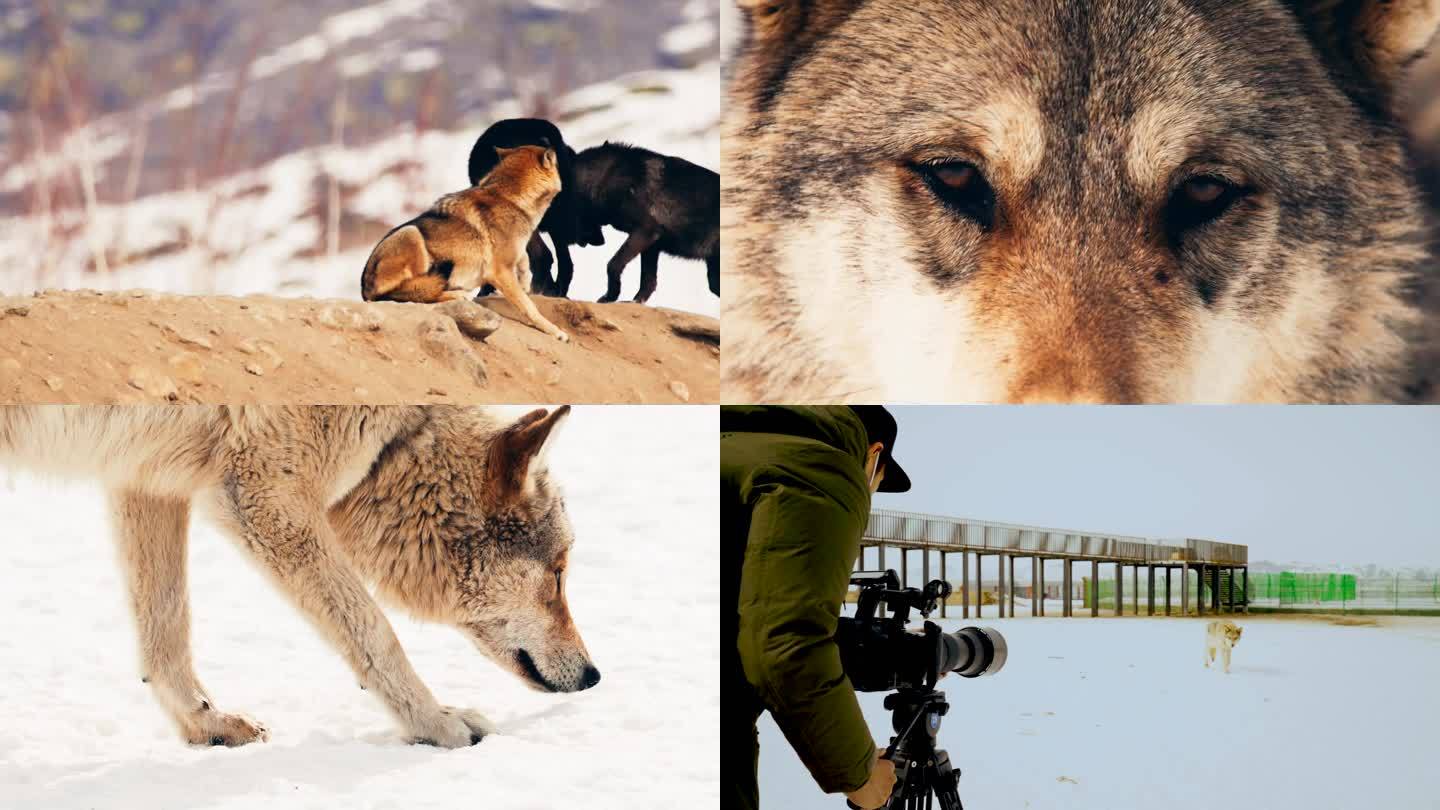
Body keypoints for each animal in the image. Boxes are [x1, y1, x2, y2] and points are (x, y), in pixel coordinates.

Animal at [0, 400, 599, 743]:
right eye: (560, 573)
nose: (594, 676)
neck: (393, 440)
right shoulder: (268, 503)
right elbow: (374, 632)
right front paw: (436, 724)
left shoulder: (147, 480)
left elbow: (167, 633)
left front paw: (206, 725)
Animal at [357, 144, 570, 340]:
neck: (510, 198)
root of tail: (364, 290)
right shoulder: (500, 271)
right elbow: (529, 306)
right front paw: (555, 331)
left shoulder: (511, 255)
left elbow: (524, 259)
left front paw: (526, 283)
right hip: (411, 233)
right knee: (409, 294)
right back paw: (458, 295)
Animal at [576, 140, 725, 304]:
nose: (601, 242)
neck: (607, 176)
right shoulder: (652, 244)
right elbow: (648, 282)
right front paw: (635, 302)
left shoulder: (646, 230)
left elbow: (613, 265)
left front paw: (610, 296)